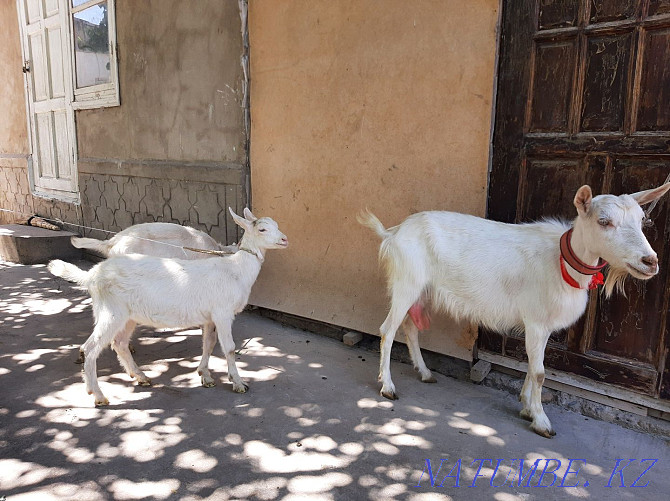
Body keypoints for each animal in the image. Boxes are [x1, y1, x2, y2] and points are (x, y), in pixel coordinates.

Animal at [47, 207, 288, 406]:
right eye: (263, 229)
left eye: (277, 224)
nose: (285, 239)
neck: (236, 269)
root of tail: (92, 275)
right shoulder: (223, 313)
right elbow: (228, 348)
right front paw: (238, 383)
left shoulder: (209, 316)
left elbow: (208, 344)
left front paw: (205, 375)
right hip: (112, 312)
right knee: (91, 348)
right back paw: (98, 395)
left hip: (127, 315)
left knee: (119, 343)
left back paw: (141, 377)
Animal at [362, 185, 670, 438]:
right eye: (603, 221)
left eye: (642, 221)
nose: (650, 261)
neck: (560, 261)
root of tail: (392, 233)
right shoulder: (535, 322)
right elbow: (540, 372)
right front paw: (542, 421)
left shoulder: (541, 324)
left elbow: (532, 366)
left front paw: (527, 407)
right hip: (406, 282)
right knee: (387, 330)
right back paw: (388, 387)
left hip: (422, 291)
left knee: (410, 328)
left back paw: (425, 372)